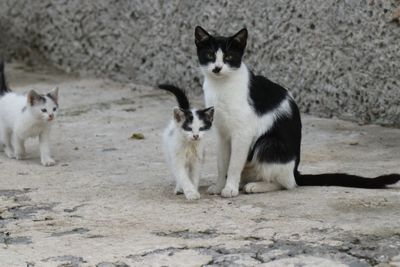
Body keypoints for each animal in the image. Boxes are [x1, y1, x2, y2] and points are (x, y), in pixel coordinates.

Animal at [195, 26, 400, 199]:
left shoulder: (243, 133)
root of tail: (295, 169)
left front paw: (229, 188)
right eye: (210, 55)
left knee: (286, 183)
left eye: (229, 57)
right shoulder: (222, 134)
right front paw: (219, 186)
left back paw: (256, 186)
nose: (217, 68)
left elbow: (234, 164)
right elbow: (222, 164)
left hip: (268, 144)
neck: (221, 87)